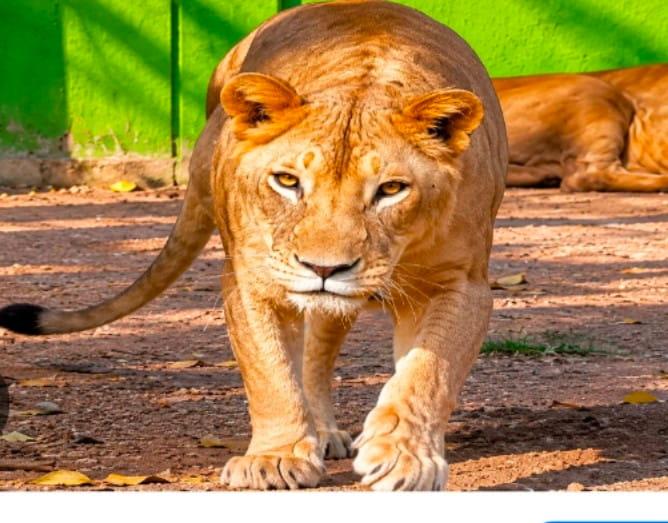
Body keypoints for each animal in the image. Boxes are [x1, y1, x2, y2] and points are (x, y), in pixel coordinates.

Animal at [0, 1, 506, 490]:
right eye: (288, 181)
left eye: (391, 190)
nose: (324, 270)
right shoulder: (252, 280)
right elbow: (270, 373)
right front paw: (276, 459)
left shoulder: (462, 284)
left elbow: (426, 373)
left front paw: (404, 456)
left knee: (320, 355)